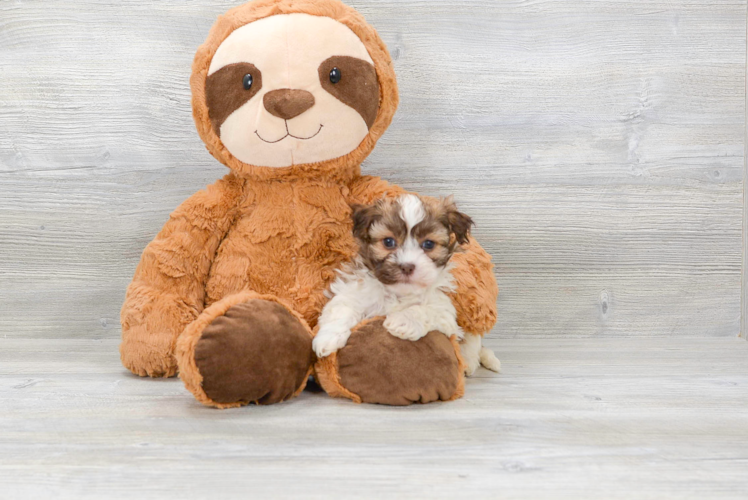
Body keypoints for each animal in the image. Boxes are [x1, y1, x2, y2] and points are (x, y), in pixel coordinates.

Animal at [312, 193, 500, 376]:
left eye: (428, 244)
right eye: (388, 242)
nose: (407, 266)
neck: (398, 292)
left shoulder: (445, 311)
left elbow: (425, 311)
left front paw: (402, 321)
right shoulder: (355, 290)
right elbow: (342, 308)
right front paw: (328, 338)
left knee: (473, 341)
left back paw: (471, 362)